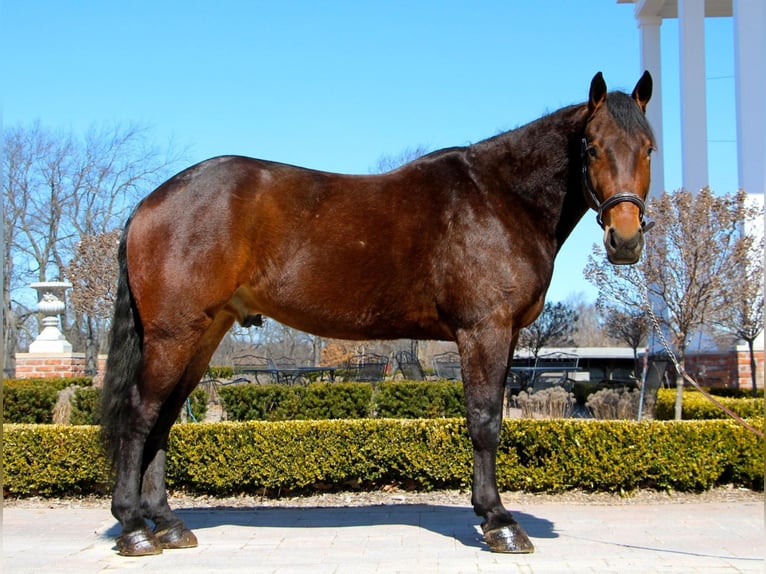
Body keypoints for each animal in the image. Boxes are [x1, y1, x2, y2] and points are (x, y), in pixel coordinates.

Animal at [102, 72, 656, 560]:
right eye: (591, 147)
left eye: (649, 147)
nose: (625, 240)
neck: (498, 199)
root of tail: (150, 202)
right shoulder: (485, 330)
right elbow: (484, 421)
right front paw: (499, 522)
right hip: (174, 334)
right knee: (139, 414)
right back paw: (134, 529)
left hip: (202, 334)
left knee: (164, 417)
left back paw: (168, 524)